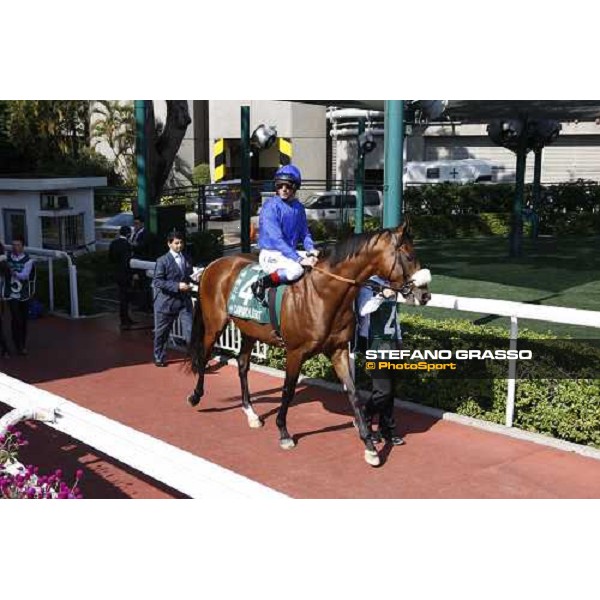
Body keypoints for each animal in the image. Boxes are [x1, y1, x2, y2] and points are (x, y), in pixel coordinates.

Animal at [189, 223, 432, 466]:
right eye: (409, 256)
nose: (425, 295)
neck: (322, 294)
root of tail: (213, 264)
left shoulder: (339, 350)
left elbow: (353, 394)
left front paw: (369, 445)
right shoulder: (295, 352)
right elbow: (288, 390)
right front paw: (284, 432)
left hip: (250, 329)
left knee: (242, 364)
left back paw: (251, 413)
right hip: (214, 324)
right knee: (204, 355)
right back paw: (196, 396)